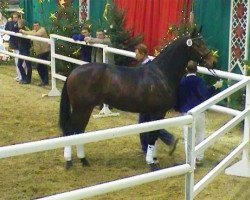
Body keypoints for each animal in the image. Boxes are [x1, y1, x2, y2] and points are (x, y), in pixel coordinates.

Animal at [58, 28, 215, 167]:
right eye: (198, 44)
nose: (212, 61)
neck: (161, 73)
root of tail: (73, 72)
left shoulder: (152, 113)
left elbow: (153, 135)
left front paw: (154, 158)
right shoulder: (158, 112)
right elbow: (153, 135)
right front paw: (151, 163)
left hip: (86, 109)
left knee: (79, 130)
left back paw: (84, 160)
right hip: (81, 108)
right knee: (70, 130)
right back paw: (69, 161)